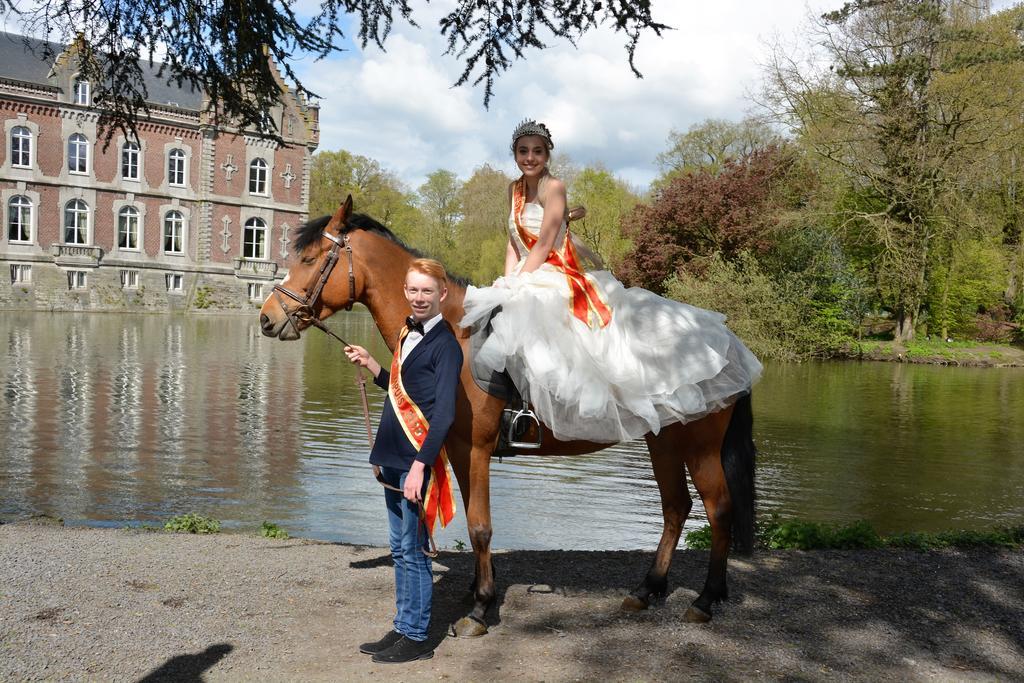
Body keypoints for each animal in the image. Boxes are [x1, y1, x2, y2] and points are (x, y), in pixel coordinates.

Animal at [258, 198, 753, 634]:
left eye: (309, 258)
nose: (266, 318)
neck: (451, 330)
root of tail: (728, 339)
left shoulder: (475, 448)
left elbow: (480, 527)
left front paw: (480, 608)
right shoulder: (457, 448)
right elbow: (474, 520)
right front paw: (480, 590)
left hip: (699, 446)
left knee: (718, 510)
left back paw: (706, 599)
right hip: (663, 441)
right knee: (676, 508)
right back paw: (648, 590)